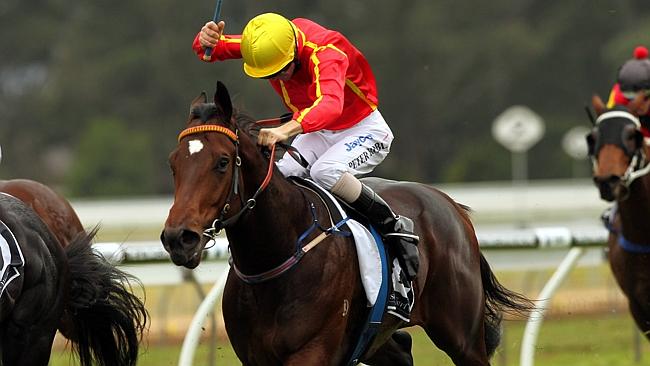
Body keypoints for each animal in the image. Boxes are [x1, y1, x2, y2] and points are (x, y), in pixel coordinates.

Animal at [159, 82, 528, 366]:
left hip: (462, 337)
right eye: (174, 163)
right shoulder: (256, 356)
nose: (179, 238)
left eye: (222, 162)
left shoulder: (311, 351)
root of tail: (452, 205)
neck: (279, 253)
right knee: (402, 351)